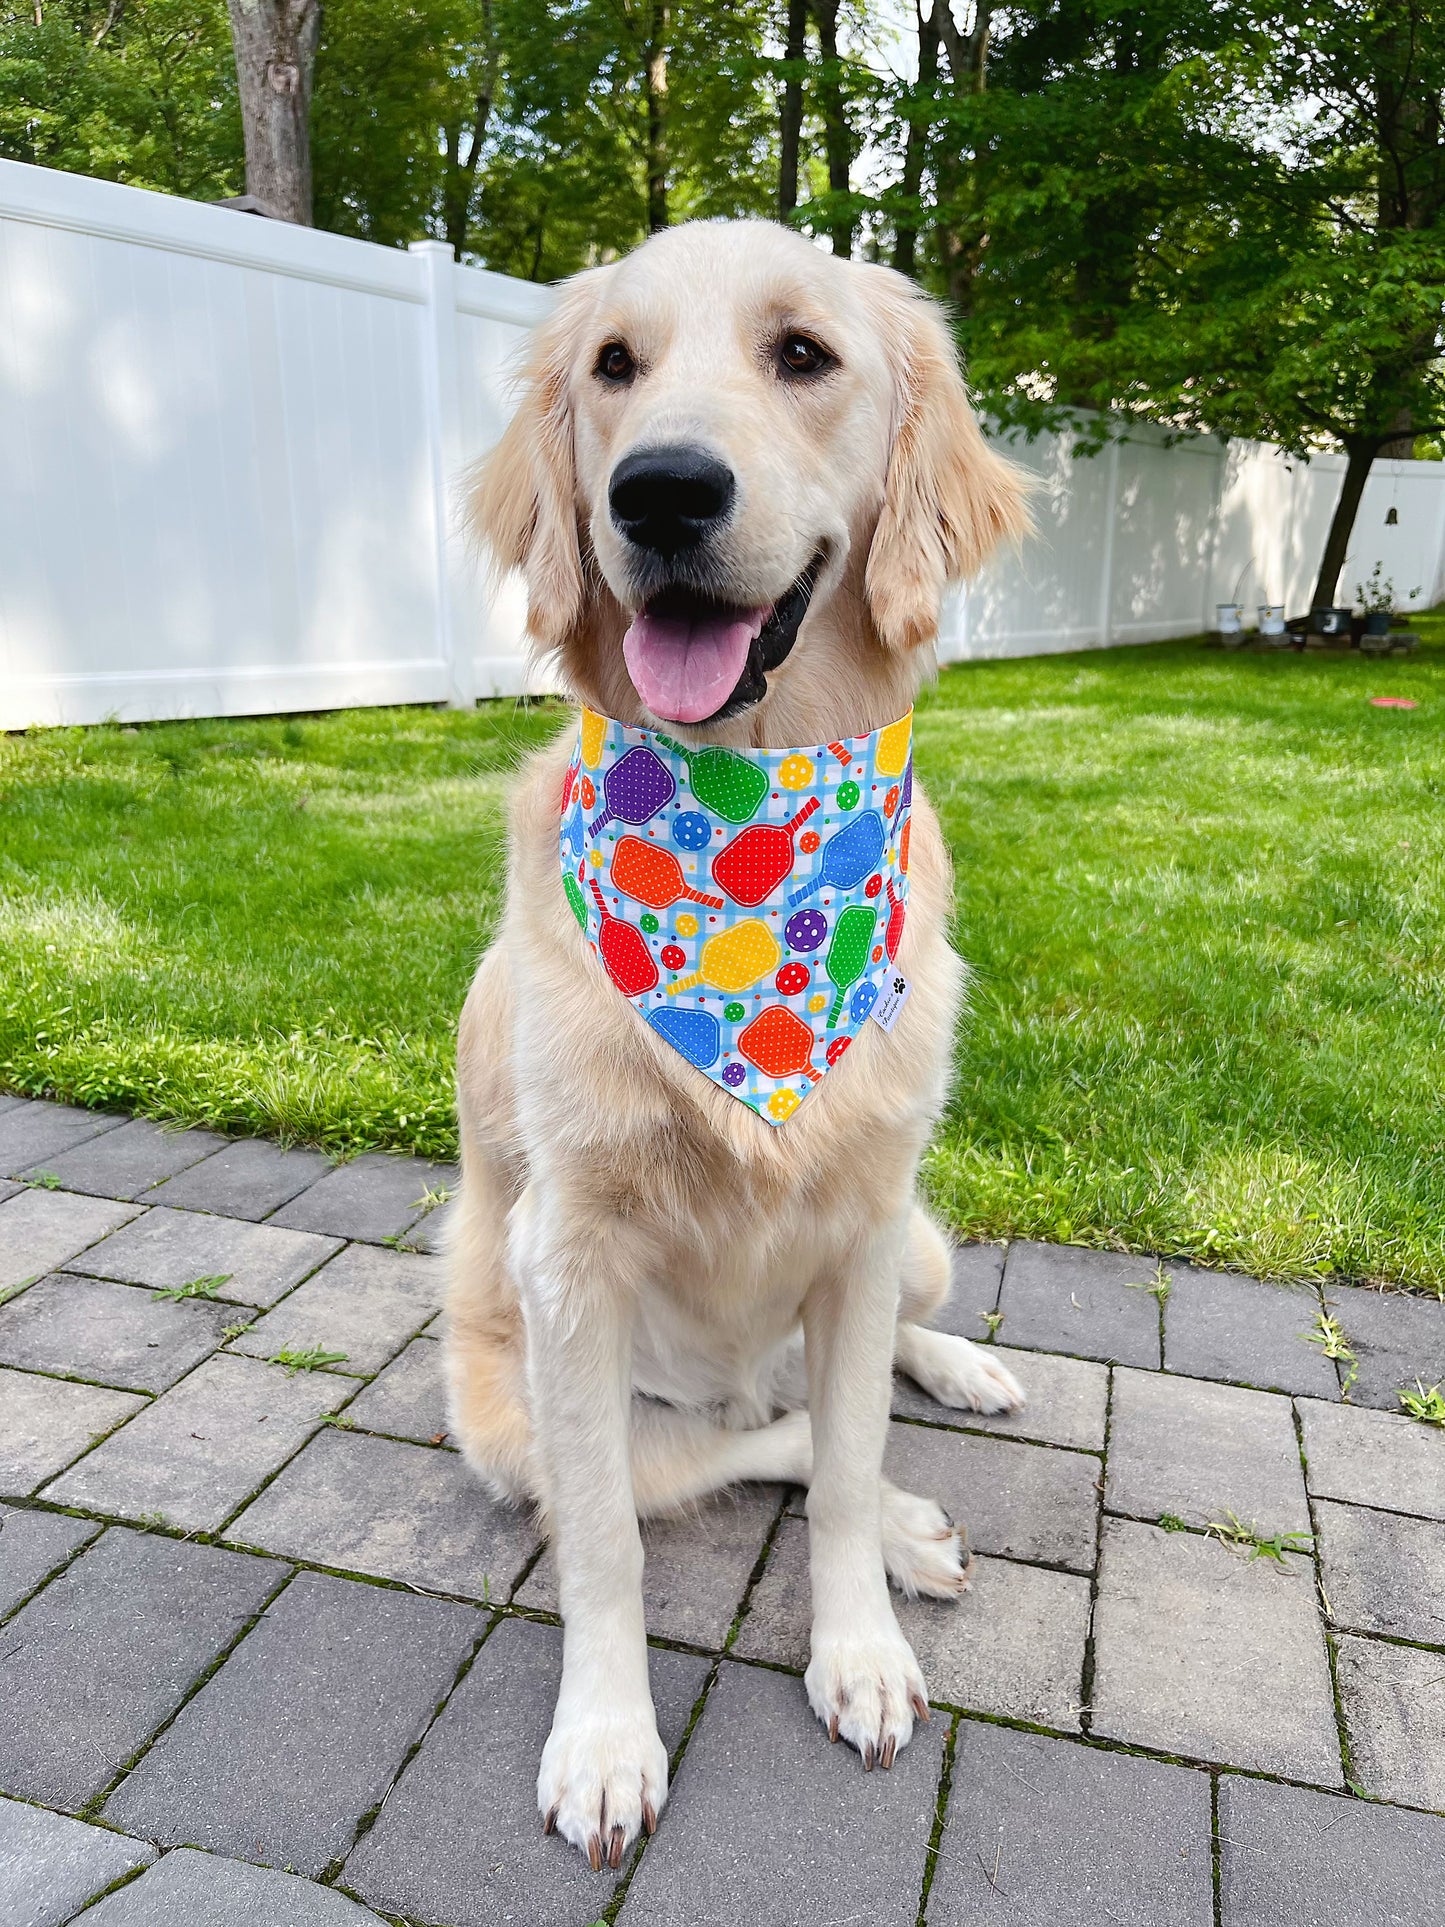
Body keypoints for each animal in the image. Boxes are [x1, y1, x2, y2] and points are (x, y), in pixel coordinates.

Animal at [446, 214, 1032, 1865]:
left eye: (802, 354)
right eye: (612, 366)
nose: (659, 489)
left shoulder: (863, 1219)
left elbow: (842, 1466)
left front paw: (858, 1651)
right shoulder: (570, 1258)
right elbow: (608, 1547)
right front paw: (602, 1740)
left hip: (915, 1239)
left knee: (849, 1399)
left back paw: (954, 1390)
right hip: (508, 1407)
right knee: (736, 1449)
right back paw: (907, 1518)